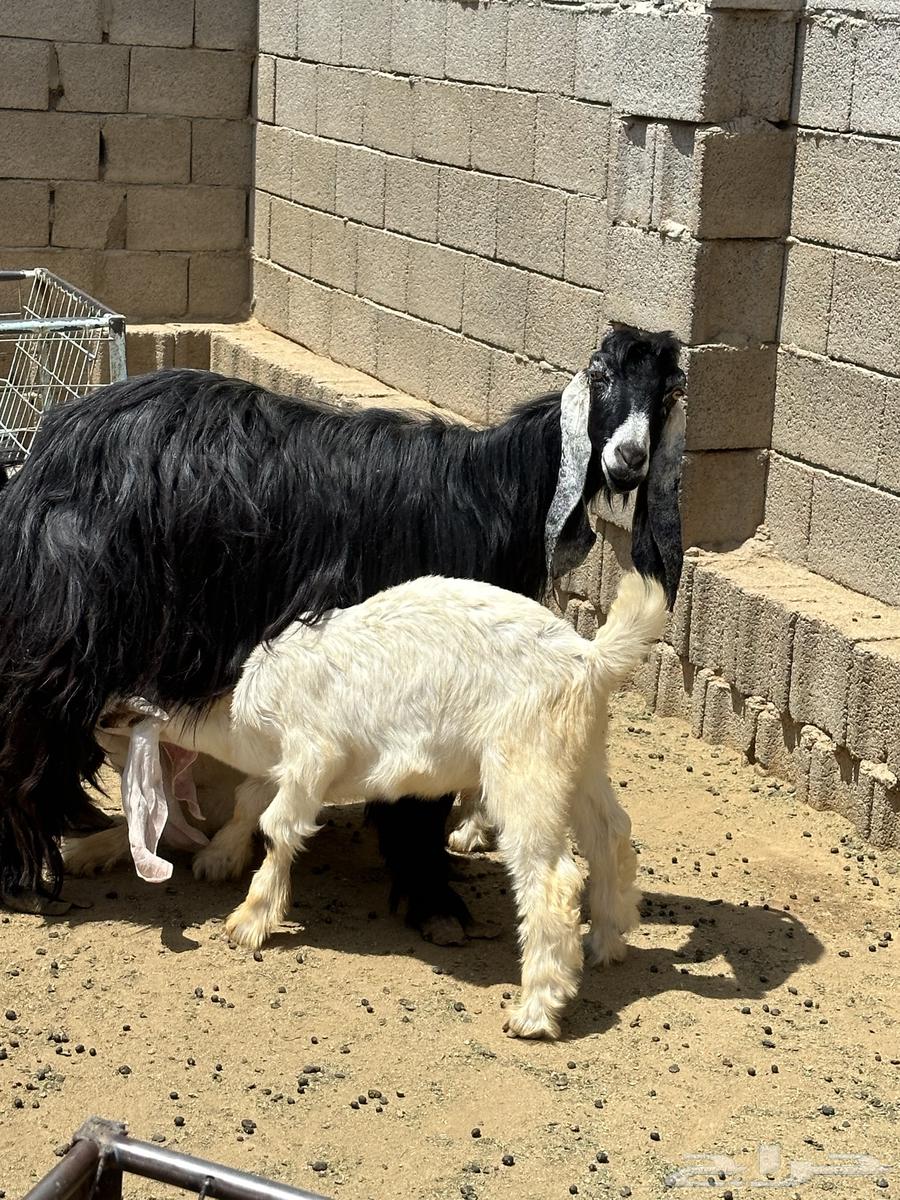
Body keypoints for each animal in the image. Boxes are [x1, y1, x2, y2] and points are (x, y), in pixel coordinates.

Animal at [0, 327, 685, 934]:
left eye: (666, 397)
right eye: (600, 376)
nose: (629, 460)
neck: (496, 491)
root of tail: (55, 442)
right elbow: (416, 799)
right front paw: (434, 901)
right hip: (71, 632)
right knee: (28, 732)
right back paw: (28, 875)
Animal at [102, 570, 667, 1039]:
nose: (105, 716)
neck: (243, 716)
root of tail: (588, 658)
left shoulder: (312, 754)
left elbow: (280, 826)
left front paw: (250, 919)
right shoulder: (277, 766)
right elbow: (247, 804)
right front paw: (218, 858)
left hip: (526, 762)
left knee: (552, 879)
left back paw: (536, 1010)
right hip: (581, 754)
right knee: (611, 832)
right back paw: (607, 940)